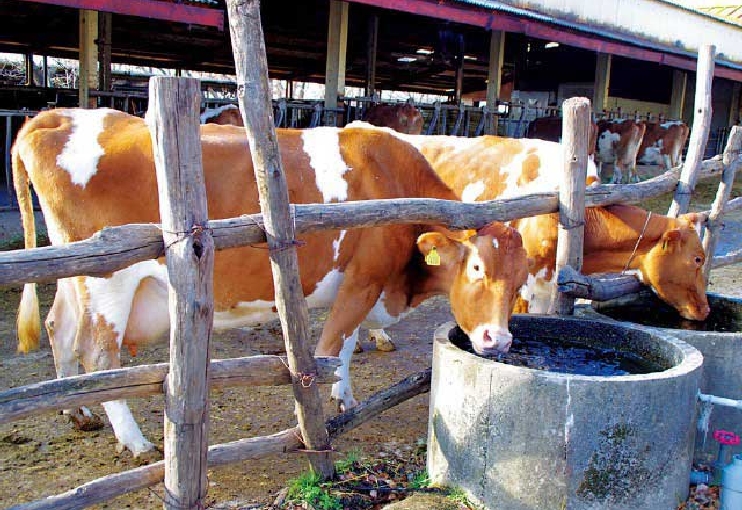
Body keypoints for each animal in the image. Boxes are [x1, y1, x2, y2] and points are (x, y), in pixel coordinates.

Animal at [13, 107, 536, 454]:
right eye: (477, 269)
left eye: (519, 282)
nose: (499, 340)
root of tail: (58, 116)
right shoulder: (365, 278)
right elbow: (331, 347)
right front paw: (318, 420)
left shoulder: (357, 285)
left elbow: (346, 347)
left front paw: (344, 397)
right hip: (110, 279)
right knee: (98, 353)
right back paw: (136, 440)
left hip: (74, 273)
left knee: (60, 327)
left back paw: (77, 412)